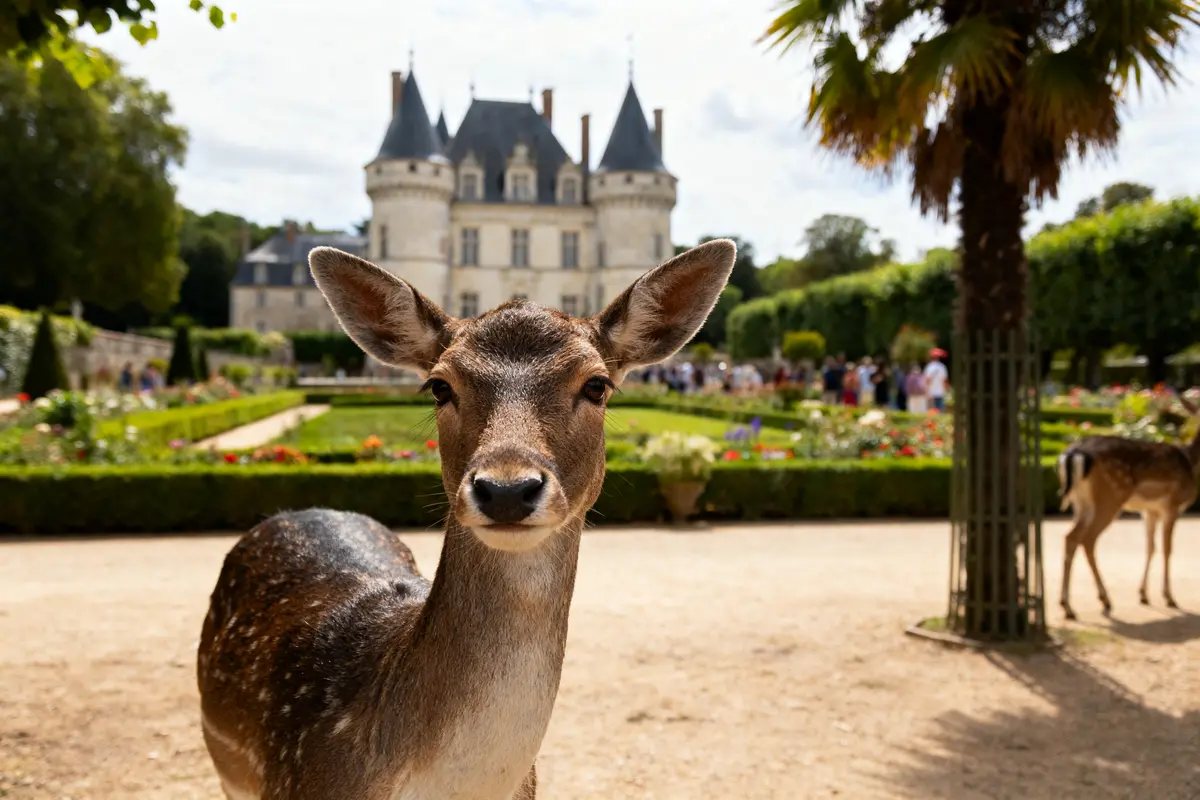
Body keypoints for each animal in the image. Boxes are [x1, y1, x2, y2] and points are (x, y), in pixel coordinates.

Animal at [1057, 393, 1200, 621]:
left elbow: (1150, 548)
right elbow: (1168, 549)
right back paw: (1102, 601)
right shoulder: (1172, 505)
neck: (1191, 461)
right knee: (1087, 539)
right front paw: (1169, 598)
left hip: (1080, 502)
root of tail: (1072, 454)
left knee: (1070, 537)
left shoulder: (1150, 511)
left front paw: (1143, 595)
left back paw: (1068, 606)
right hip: (1110, 497)